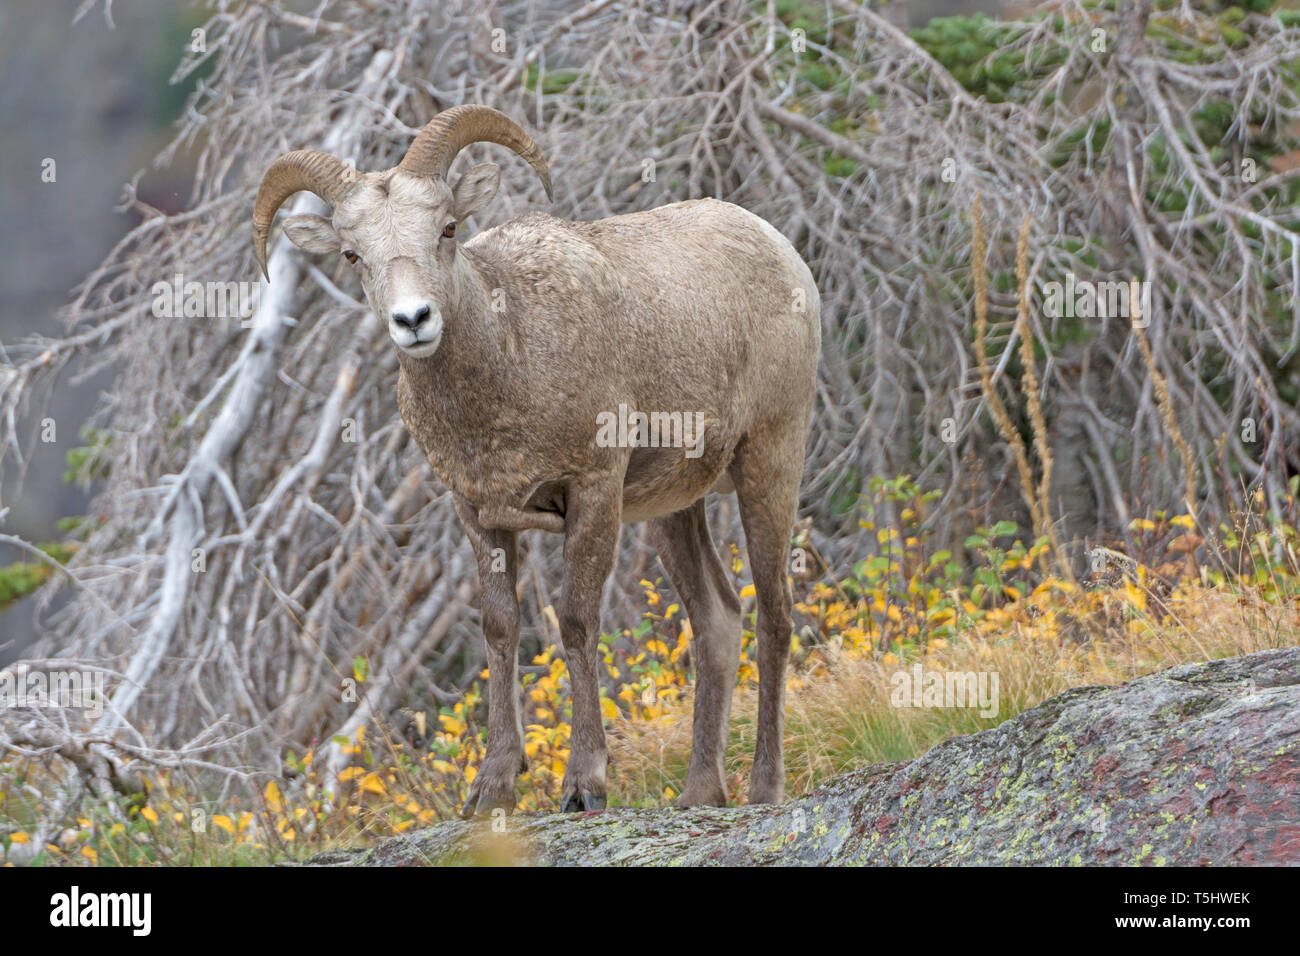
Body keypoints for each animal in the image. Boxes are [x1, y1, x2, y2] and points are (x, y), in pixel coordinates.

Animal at [252, 104, 816, 811]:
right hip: (672, 510)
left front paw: (584, 785)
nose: (413, 320)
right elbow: (500, 627)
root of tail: (781, 250)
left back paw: (764, 788)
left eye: (447, 229)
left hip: (770, 457)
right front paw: (492, 787)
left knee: (775, 614)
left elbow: (575, 623)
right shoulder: (478, 514)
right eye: (354, 254)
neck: (511, 356)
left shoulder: (592, 493)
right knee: (717, 618)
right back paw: (698, 796)